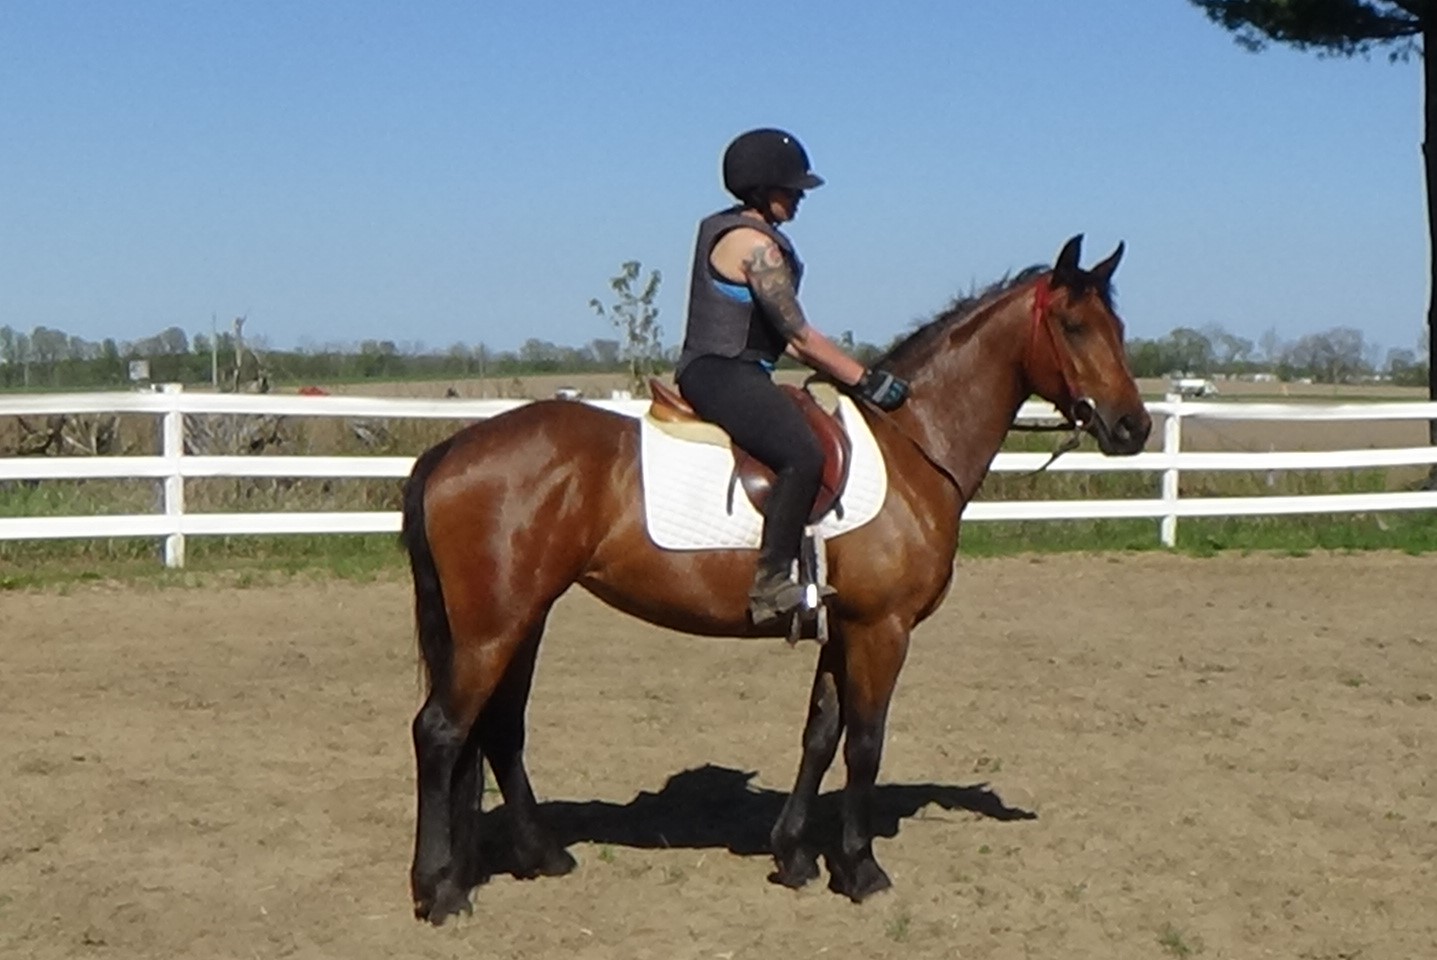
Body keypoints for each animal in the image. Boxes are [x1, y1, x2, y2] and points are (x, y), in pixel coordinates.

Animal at [401, 234, 1152, 924]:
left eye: (1117, 328)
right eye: (1075, 326)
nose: (1133, 427)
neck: (911, 446)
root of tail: (452, 447)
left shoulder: (841, 628)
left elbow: (819, 734)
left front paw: (794, 856)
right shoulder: (882, 630)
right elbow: (865, 744)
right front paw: (860, 869)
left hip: (520, 617)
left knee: (499, 728)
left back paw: (540, 856)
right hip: (494, 625)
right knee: (441, 731)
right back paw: (441, 891)